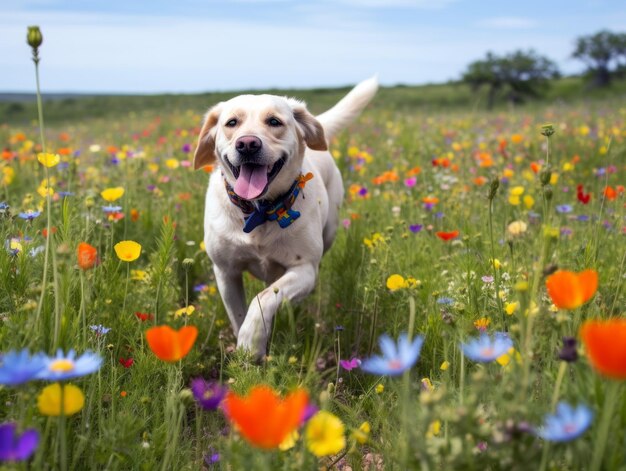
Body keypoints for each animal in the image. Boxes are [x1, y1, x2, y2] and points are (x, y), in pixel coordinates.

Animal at [191, 76, 376, 358]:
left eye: (274, 121)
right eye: (232, 123)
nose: (247, 144)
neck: (259, 211)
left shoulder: (305, 269)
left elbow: (264, 298)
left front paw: (251, 341)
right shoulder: (225, 272)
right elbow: (239, 314)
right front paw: (244, 351)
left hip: (329, 232)